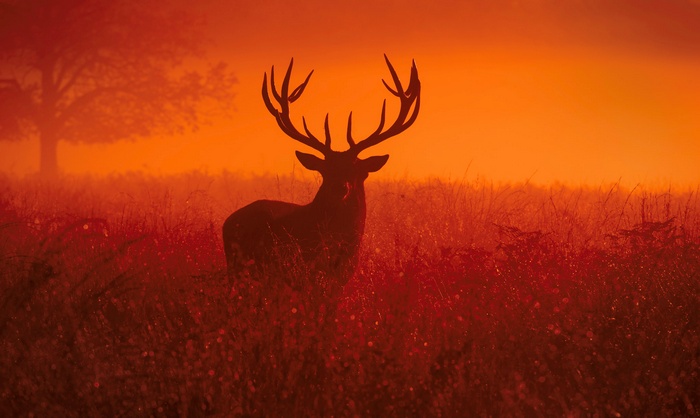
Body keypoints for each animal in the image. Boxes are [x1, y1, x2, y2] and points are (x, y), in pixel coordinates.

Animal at [223, 55, 420, 299]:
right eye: (325, 169)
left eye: (357, 170)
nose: (340, 187)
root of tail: (227, 223)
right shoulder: (302, 272)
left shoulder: (342, 277)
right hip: (240, 267)